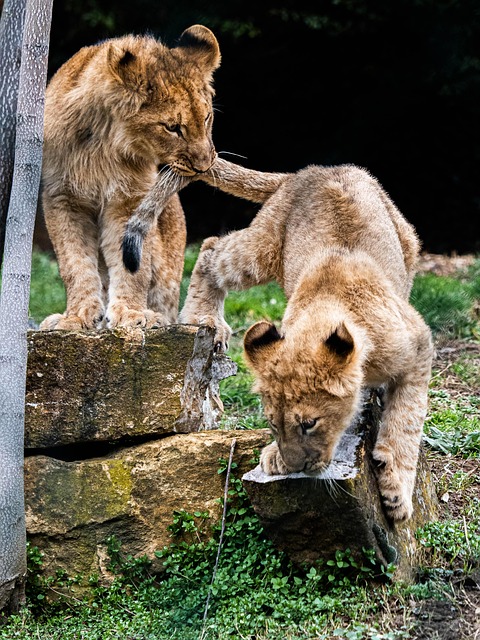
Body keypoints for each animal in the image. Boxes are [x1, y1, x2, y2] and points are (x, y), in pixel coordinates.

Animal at [39, 25, 221, 331]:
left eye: (207, 118)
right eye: (172, 127)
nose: (204, 166)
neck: (104, 144)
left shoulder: (130, 199)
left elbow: (133, 267)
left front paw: (131, 313)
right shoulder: (61, 198)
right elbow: (74, 264)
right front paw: (77, 316)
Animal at [178, 157, 433, 521]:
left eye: (309, 423)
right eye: (272, 422)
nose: (295, 466)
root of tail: (311, 170)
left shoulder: (419, 345)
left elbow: (407, 419)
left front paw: (396, 490)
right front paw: (275, 456)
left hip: (407, 245)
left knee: (212, 243)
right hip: (260, 251)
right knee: (212, 246)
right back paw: (203, 319)